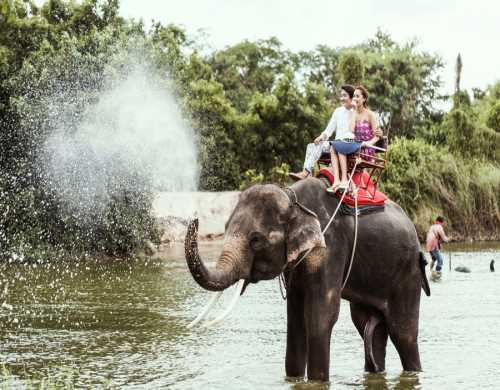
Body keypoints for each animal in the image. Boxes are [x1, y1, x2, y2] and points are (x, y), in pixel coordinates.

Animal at [184, 178, 430, 382]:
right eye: (225, 228)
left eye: (256, 239)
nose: (194, 218)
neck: (293, 200)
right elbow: (295, 318)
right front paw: (293, 380)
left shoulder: (329, 248)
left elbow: (321, 315)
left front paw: (317, 381)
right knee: (366, 326)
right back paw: (375, 371)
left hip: (408, 272)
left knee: (403, 332)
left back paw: (414, 371)